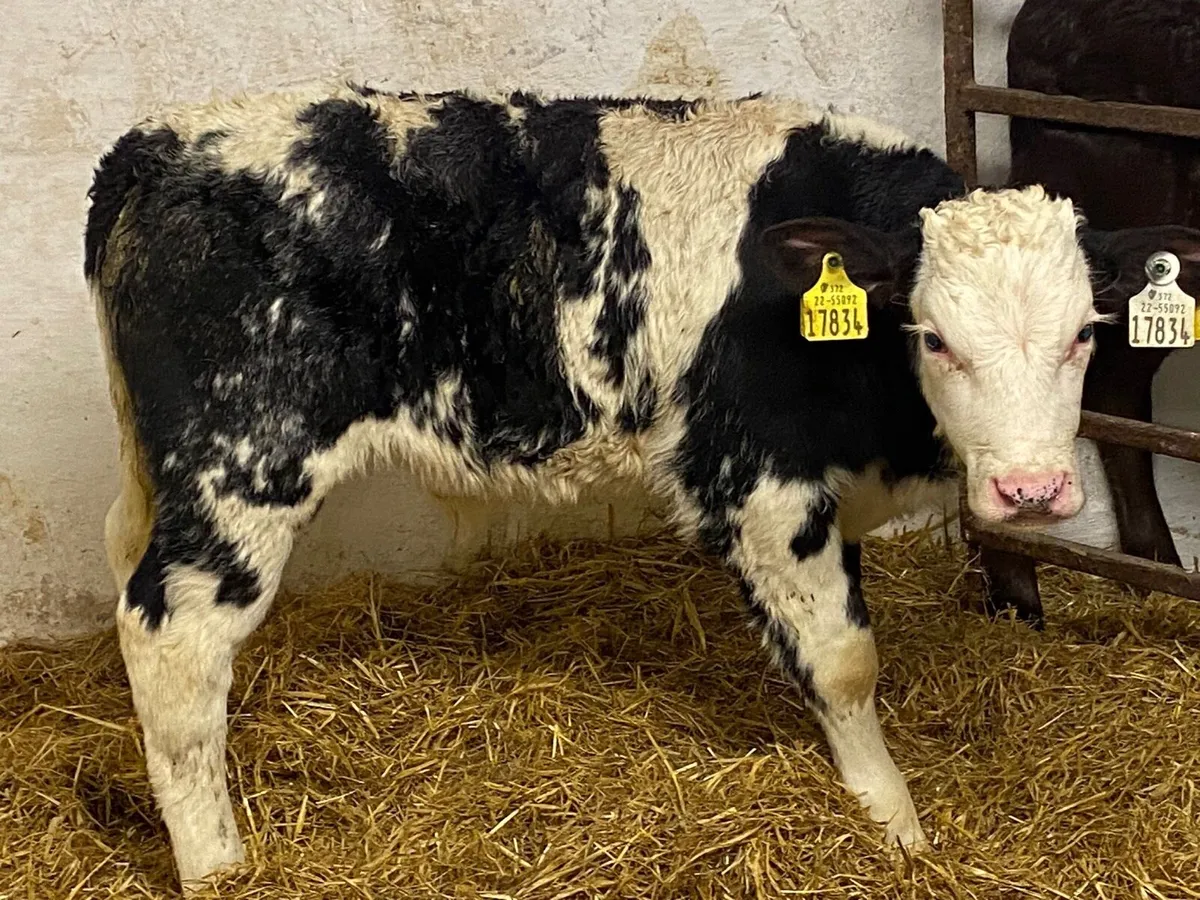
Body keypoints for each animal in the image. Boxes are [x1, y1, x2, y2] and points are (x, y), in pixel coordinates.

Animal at [84, 83, 1200, 889]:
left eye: (1084, 332)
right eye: (932, 335)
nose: (1032, 493)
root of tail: (157, 144)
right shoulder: (759, 484)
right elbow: (844, 664)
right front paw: (895, 823)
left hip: (157, 466)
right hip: (244, 463)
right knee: (173, 639)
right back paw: (217, 866)